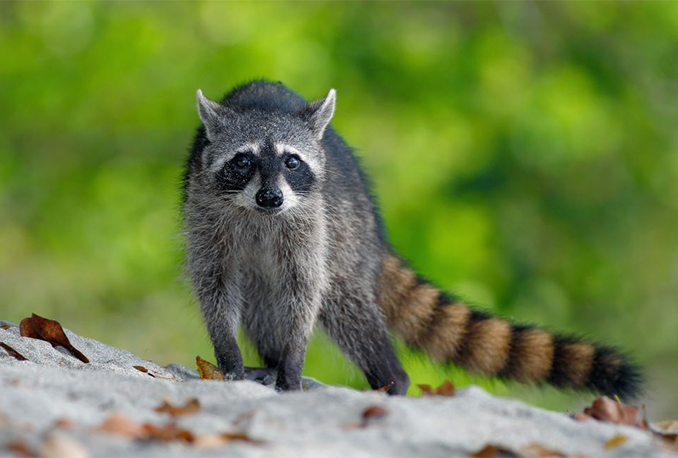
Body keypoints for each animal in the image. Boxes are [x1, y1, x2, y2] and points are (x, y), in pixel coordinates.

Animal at [183, 80, 642, 397]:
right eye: (244, 160)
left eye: (291, 162)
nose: (271, 197)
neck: (259, 214)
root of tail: (373, 230)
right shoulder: (204, 212)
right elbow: (215, 284)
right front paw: (229, 356)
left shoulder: (309, 223)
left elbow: (305, 289)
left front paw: (293, 362)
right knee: (263, 301)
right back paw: (271, 362)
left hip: (343, 233)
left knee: (343, 303)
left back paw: (388, 378)